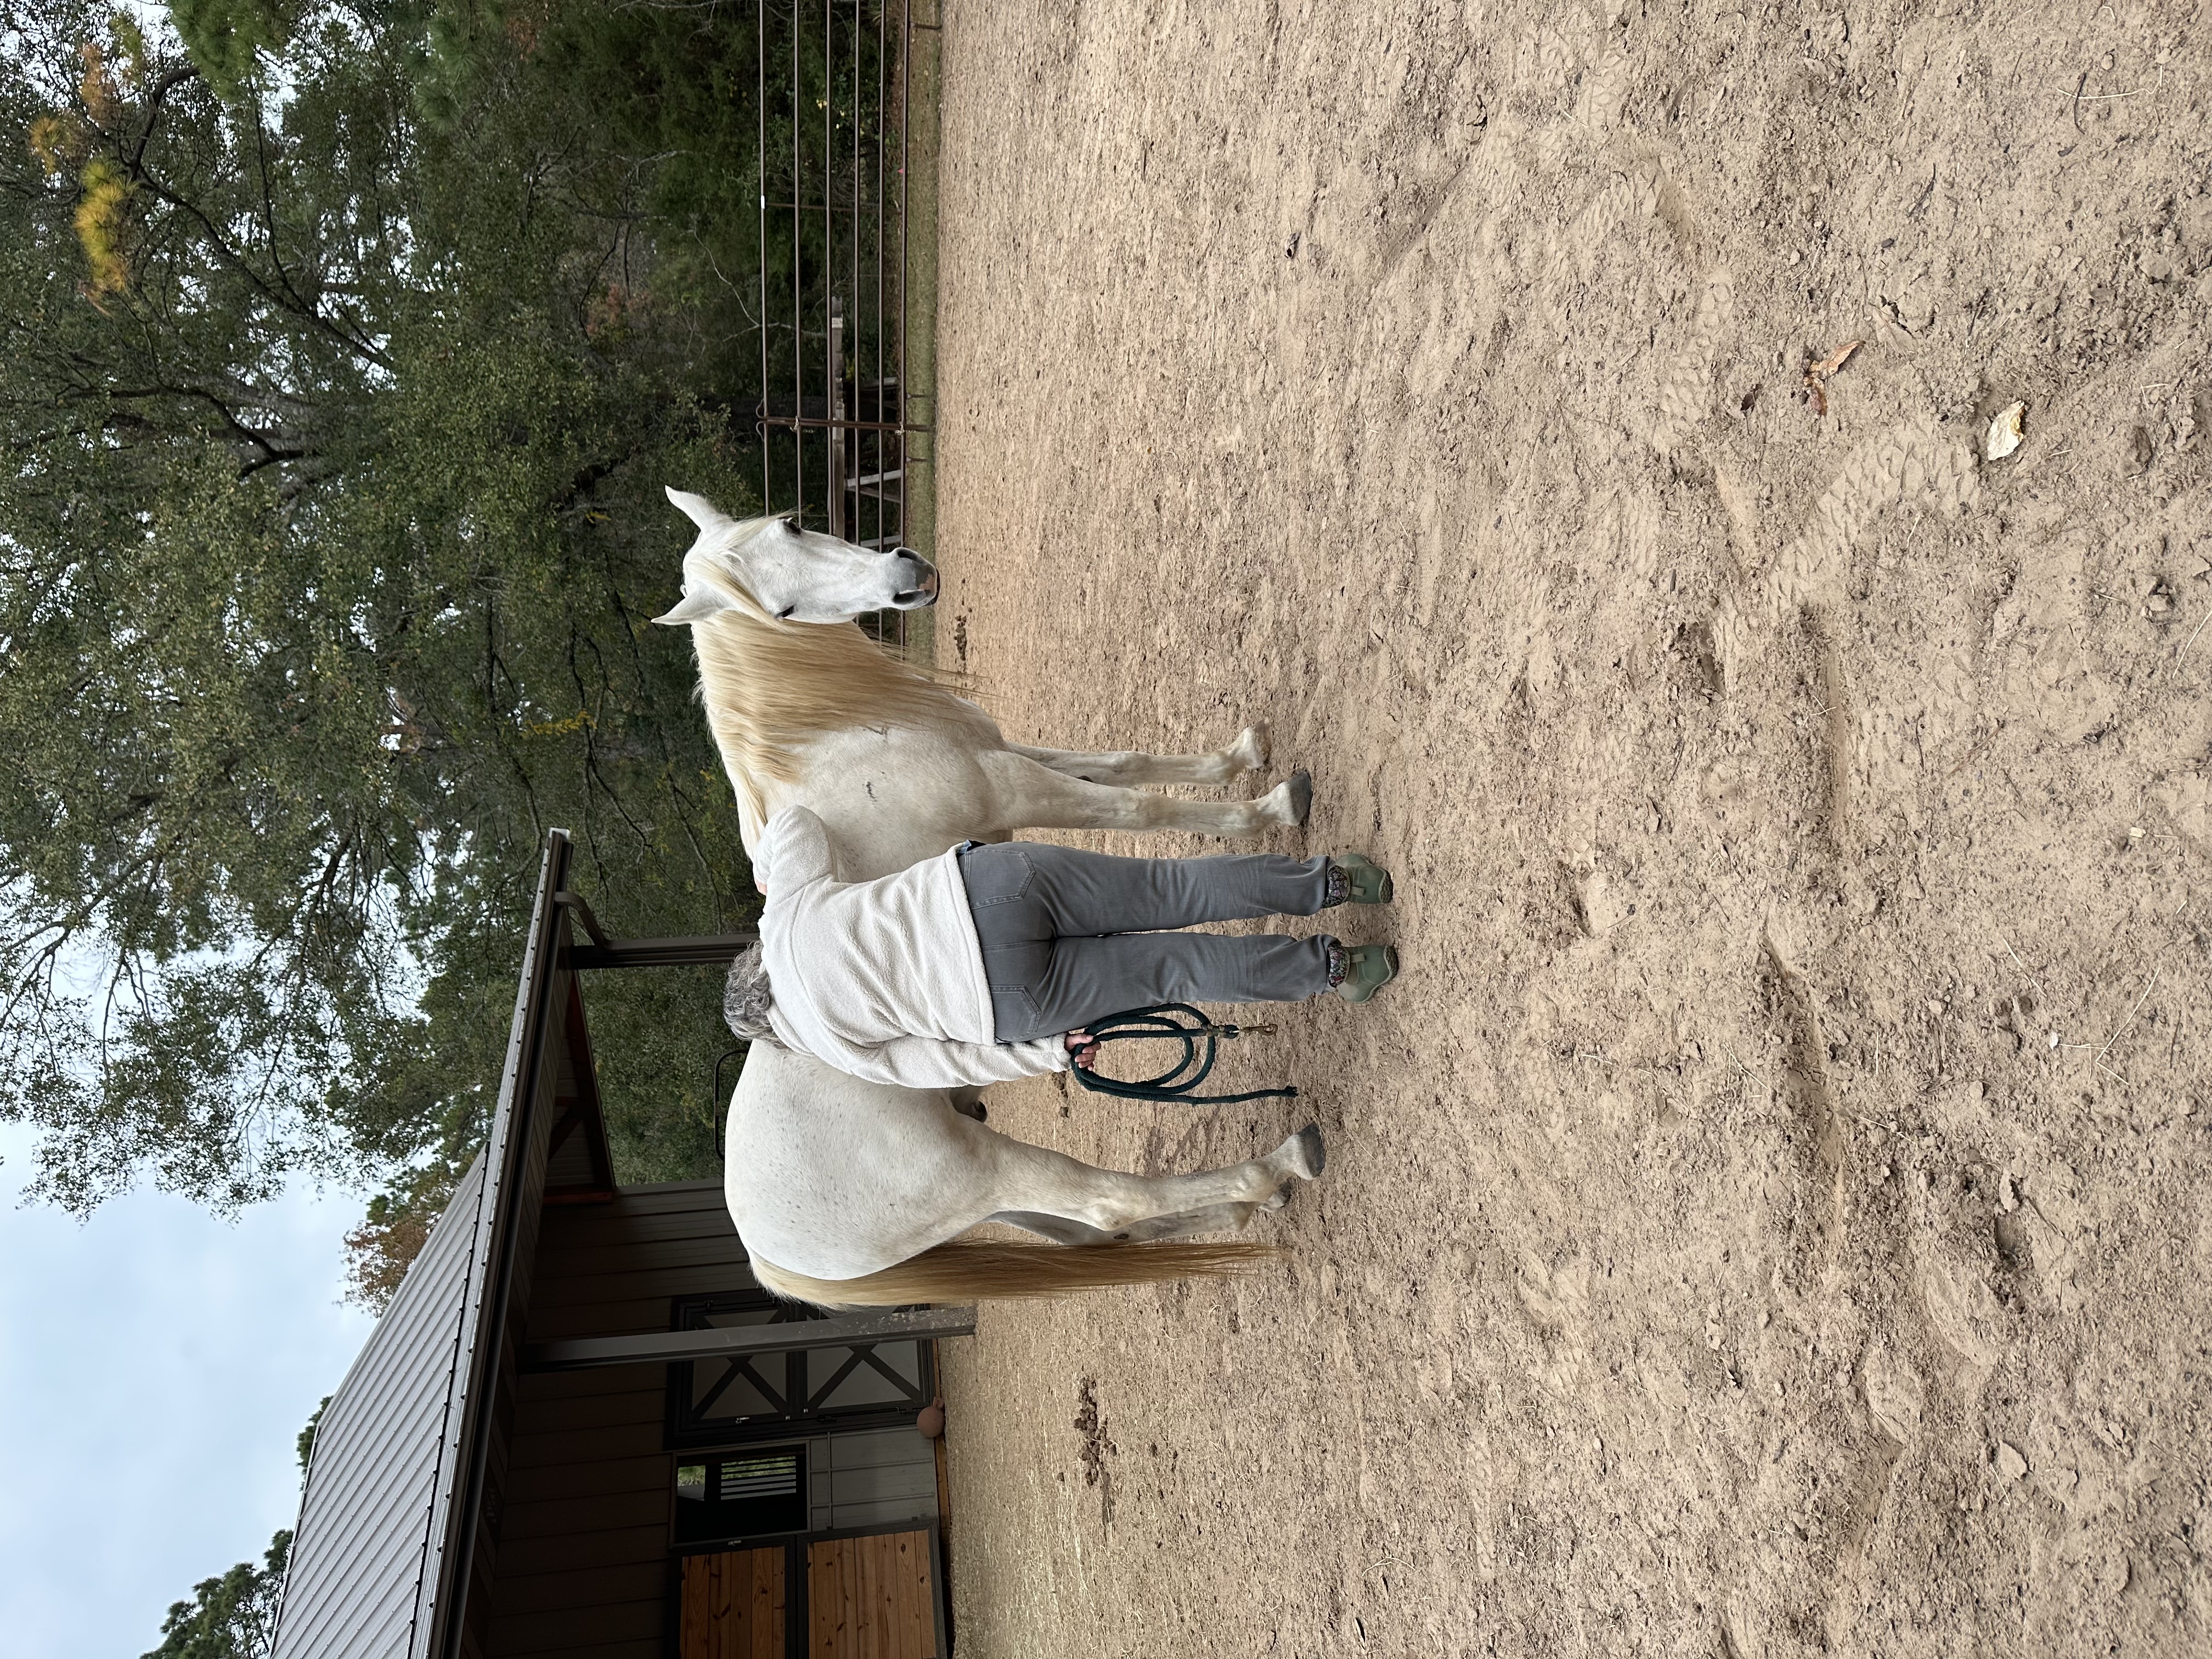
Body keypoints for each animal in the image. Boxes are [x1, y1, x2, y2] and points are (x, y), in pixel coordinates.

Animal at [653, 488, 1327, 1307]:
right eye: (778, 609)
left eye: (793, 523)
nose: (904, 577)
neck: (842, 742)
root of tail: (767, 1249)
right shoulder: (1010, 783)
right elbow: (1138, 809)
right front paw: (1270, 809)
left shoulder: (1011, 756)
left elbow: (1124, 762)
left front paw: (1239, 755)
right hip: (980, 1174)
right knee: (1108, 1202)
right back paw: (1278, 1168)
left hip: (987, 1202)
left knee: (1097, 1234)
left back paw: (1246, 1205)